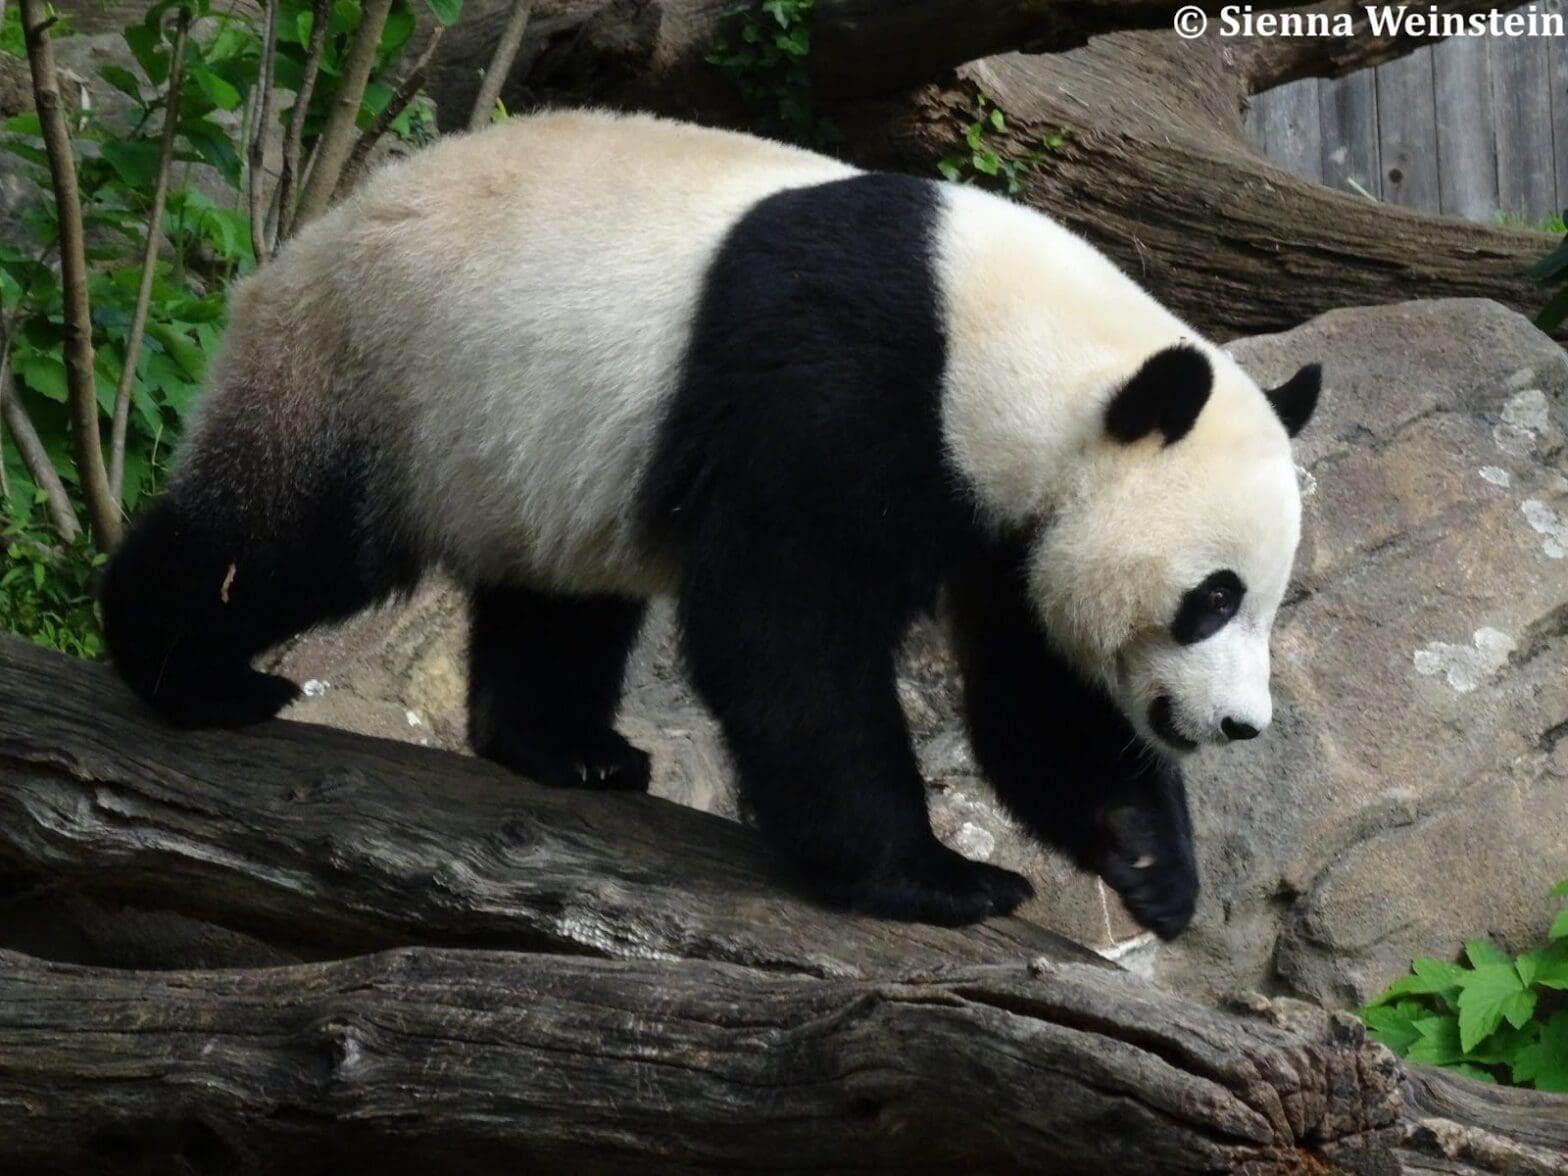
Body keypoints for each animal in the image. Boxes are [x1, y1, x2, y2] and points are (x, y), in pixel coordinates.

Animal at [102, 110, 1319, 934]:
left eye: (1266, 603)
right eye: (1212, 599)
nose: (1238, 727)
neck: (1005, 343)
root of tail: (316, 232)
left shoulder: (1002, 510)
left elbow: (1035, 690)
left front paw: (1151, 864)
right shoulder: (846, 385)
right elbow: (787, 632)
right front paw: (935, 879)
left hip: (528, 440)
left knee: (558, 599)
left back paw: (569, 750)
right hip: (381, 368)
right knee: (282, 538)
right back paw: (185, 672)